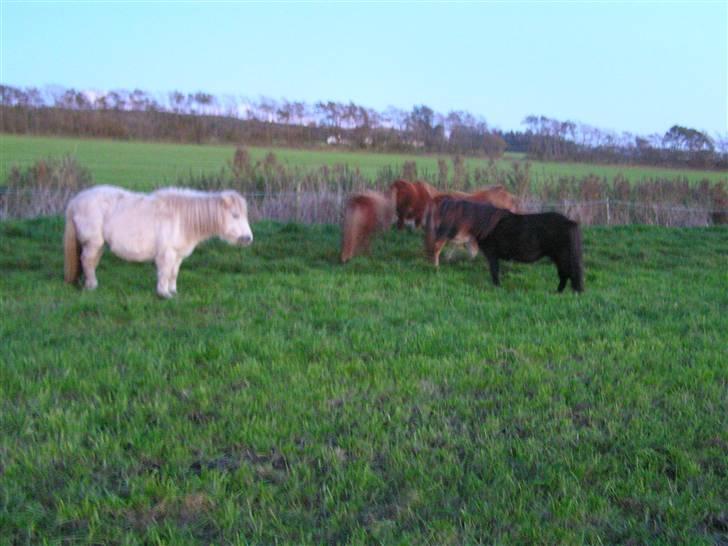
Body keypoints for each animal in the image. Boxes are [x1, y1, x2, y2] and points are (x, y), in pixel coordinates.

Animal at [63, 186, 256, 298]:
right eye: (235, 215)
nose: (248, 239)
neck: (182, 219)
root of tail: (75, 201)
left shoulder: (178, 255)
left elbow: (173, 274)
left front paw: (173, 291)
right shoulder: (167, 253)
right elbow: (164, 273)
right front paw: (163, 294)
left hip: (98, 245)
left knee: (90, 262)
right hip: (93, 243)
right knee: (87, 261)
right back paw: (92, 286)